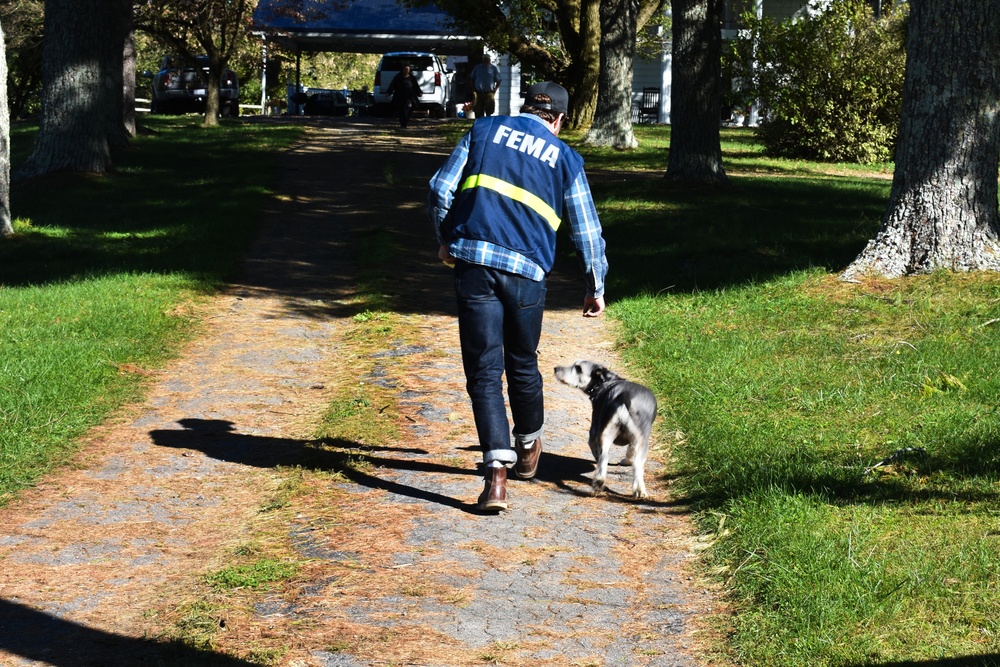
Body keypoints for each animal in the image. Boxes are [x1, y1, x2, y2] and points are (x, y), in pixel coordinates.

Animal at [556, 362, 656, 498]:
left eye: (578, 368)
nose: (556, 368)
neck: (608, 381)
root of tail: (623, 398)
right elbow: (630, 450)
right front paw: (627, 461)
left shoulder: (593, 433)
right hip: (637, 440)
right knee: (635, 465)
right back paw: (638, 490)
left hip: (606, 434)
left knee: (604, 457)